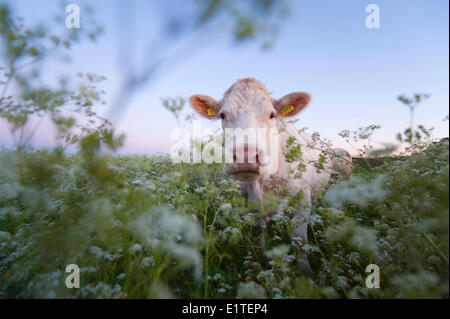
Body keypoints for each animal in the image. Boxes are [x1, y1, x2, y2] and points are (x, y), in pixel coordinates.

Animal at [189, 77, 352, 272]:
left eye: (272, 114)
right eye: (222, 115)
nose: (246, 156)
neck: (261, 183)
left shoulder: (302, 198)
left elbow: (299, 239)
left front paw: (305, 271)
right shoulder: (251, 204)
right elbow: (259, 232)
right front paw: (260, 257)